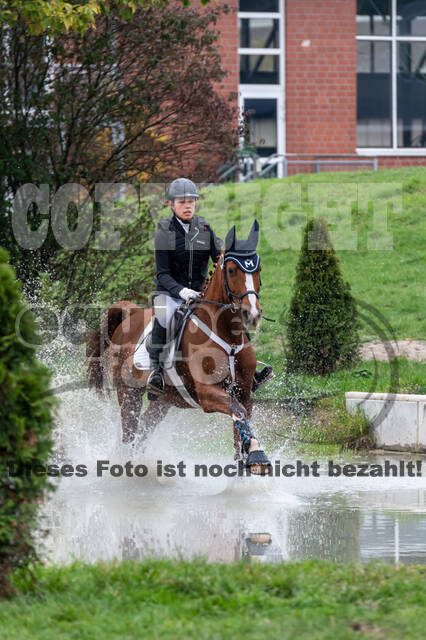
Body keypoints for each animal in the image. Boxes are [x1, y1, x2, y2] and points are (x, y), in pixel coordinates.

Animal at [85, 220, 272, 474]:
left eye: (258, 269)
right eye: (232, 270)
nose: (251, 314)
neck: (226, 334)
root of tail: (130, 315)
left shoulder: (244, 394)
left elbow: (240, 431)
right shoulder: (208, 393)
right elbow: (238, 413)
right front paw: (258, 455)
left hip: (164, 401)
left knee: (142, 431)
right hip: (129, 393)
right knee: (129, 434)